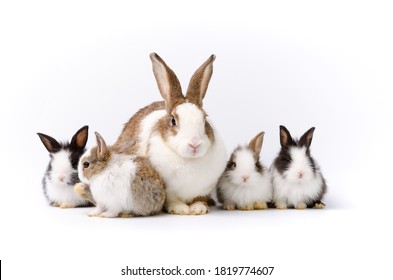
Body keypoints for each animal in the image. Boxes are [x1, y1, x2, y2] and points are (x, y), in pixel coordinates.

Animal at [112, 53, 225, 214]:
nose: (195, 144)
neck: (190, 161)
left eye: (205, 119)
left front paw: (198, 209)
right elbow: (172, 200)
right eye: (173, 121)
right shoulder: (168, 189)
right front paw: (181, 209)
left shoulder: (205, 188)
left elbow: (199, 198)